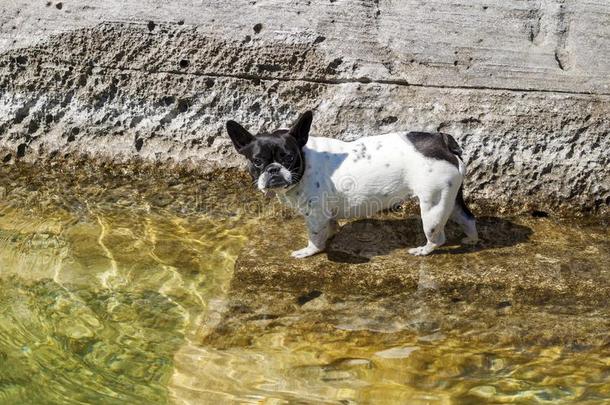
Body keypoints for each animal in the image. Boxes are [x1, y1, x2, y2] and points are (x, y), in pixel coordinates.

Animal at [226, 110, 478, 258]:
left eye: (288, 158)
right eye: (257, 161)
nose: (273, 169)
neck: (306, 162)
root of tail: (443, 142)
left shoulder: (315, 215)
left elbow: (315, 236)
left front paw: (310, 251)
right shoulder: (325, 214)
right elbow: (330, 226)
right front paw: (331, 234)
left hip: (432, 206)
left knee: (438, 237)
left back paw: (423, 250)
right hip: (449, 197)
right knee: (467, 218)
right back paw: (471, 239)